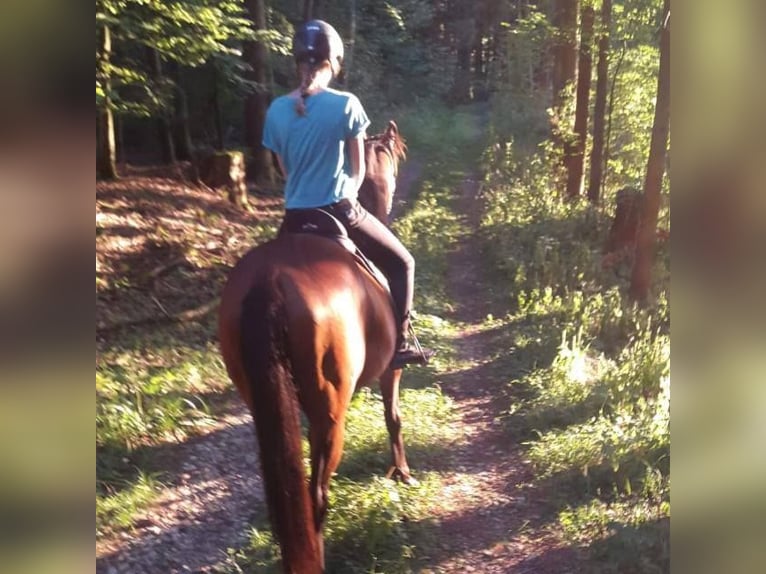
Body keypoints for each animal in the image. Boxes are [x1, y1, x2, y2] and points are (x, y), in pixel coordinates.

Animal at [219, 120, 414, 572]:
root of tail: (269, 279)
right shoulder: (391, 369)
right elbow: (393, 417)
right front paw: (401, 472)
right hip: (330, 414)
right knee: (316, 498)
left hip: (263, 398)